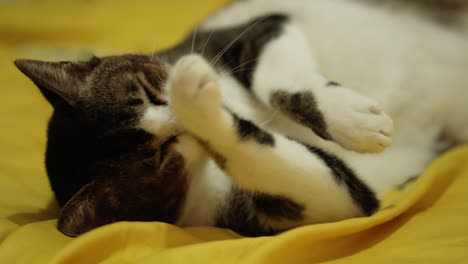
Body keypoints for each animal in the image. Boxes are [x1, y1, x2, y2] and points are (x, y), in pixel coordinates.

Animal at [13, 0, 468, 236]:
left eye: (146, 90)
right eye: (159, 159)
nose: (177, 117)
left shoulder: (255, 29)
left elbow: (278, 79)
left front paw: (351, 118)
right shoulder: (301, 205)